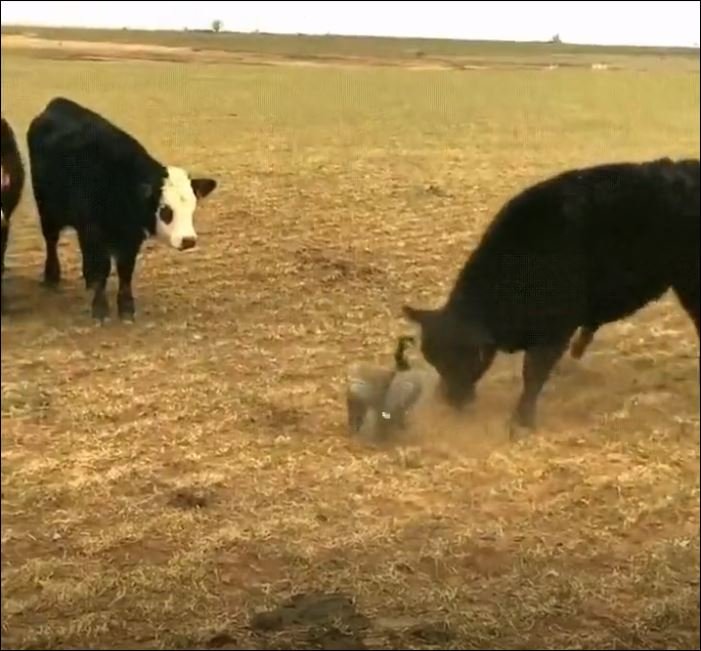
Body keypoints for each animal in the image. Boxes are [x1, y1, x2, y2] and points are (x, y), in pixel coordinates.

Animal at [27, 96, 217, 320]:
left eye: (192, 208)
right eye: (165, 209)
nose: (188, 240)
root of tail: (58, 103)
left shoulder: (130, 237)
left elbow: (125, 270)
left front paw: (126, 307)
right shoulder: (93, 231)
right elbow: (101, 267)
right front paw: (100, 309)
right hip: (47, 209)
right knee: (51, 240)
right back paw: (52, 276)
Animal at [402, 157, 696, 432]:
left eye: (464, 355)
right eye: (433, 358)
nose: (451, 401)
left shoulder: (555, 331)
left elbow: (533, 373)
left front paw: (521, 421)